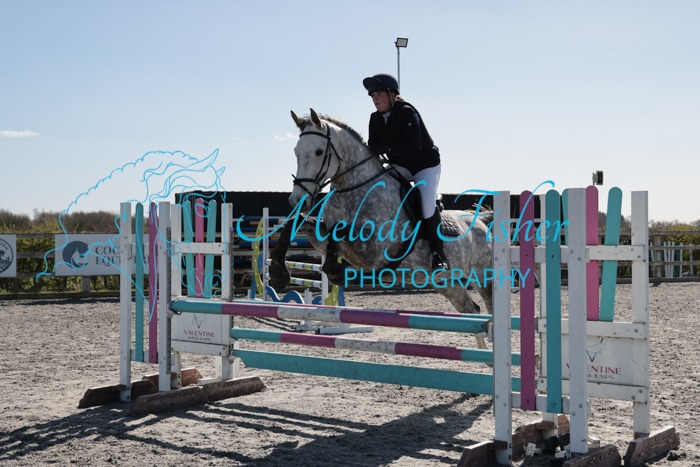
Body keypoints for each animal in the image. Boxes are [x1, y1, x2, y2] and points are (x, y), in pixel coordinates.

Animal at [270, 109, 493, 349]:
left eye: (319, 151)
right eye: (296, 151)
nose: (297, 200)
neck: (353, 188)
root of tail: (480, 221)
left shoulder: (375, 250)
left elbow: (340, 229)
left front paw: (335, 270)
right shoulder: (323, 238)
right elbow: (298, 224)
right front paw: (278, 272)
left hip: (483, 275)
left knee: (489, 307)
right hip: (447, 283)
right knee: (473, 310)